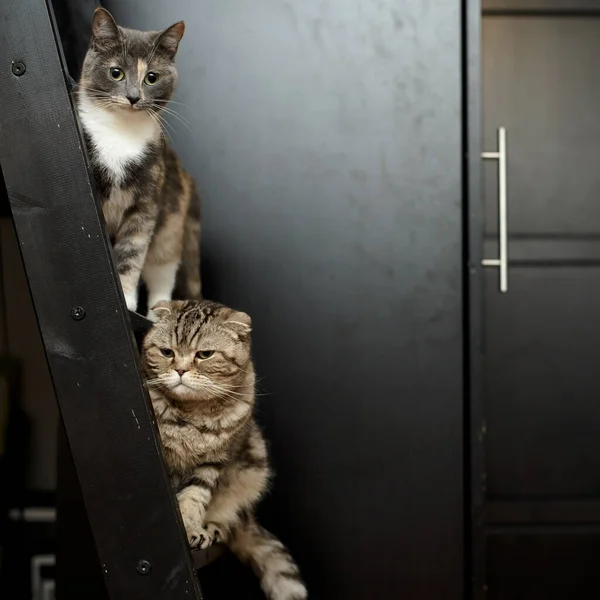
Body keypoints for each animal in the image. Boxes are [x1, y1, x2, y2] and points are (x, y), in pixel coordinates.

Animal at [77, 9, 202, 314]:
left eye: (152, 78)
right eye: (116, 73)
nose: (133, 97)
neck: (121, 133)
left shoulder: (146, 205)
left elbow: (133, 251)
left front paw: (125, 295)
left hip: (170, 225)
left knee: (162, 272)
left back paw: (160, 312)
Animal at [143, 300, 308, 600]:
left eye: (205, 354)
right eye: (166, 352)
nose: (180, 370)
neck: (192, 413)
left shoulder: (212, 463)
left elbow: (194, 497)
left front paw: (191, 527)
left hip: (253, 466)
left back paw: (213, 527)